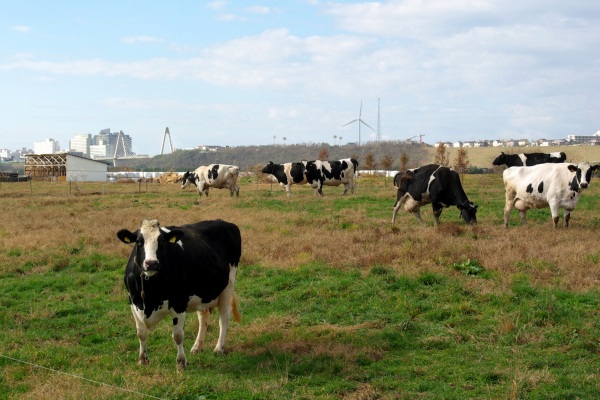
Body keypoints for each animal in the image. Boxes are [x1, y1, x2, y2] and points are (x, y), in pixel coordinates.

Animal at [116, 219, 241, 368]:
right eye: (138, 242)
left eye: (162, 242)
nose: (151, 263)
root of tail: (224, 222)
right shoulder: (133, 301)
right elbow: (141, 332)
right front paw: (142, 359)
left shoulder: (179, 302)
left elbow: (178, 335)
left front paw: (181, 362)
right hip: (202, 292)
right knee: (203, 317)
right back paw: (197, 347)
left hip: (228, 285)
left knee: (223, 317)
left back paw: (218, 348)